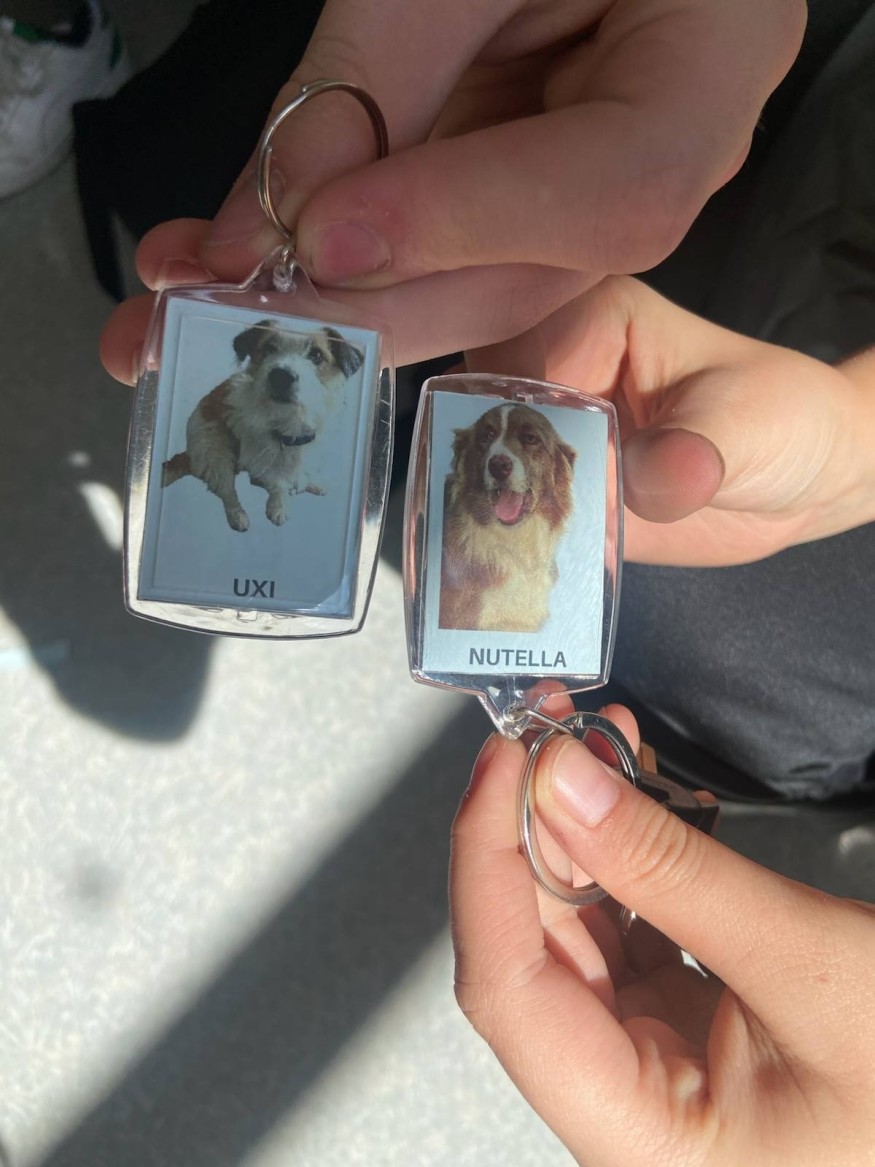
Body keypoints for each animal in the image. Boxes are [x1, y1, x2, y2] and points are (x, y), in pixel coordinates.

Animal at [162, 320, 363, 531]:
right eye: (268, 348)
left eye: (316, 354)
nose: (281, 376)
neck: (289, 417)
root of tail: (189, 455)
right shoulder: (262, 455)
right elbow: (277, 482)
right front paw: (278, 505)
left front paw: (304, 482)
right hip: (215, 449)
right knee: (227, 489)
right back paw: (237, 515)